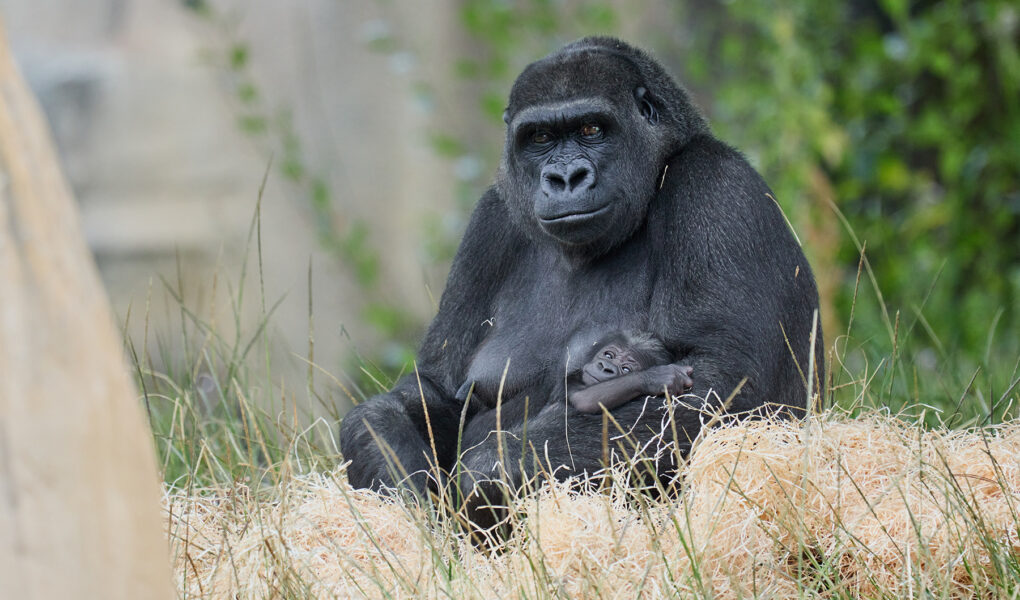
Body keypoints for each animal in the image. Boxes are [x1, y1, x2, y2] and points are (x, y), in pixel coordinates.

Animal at [338, 38, 824, 495]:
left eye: (591, 129)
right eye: (539, 138)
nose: (565, 178)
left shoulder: (716, 185)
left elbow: (723, 381)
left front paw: (488, 473)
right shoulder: (491, 219)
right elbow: (437, 392)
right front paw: (397, 468)